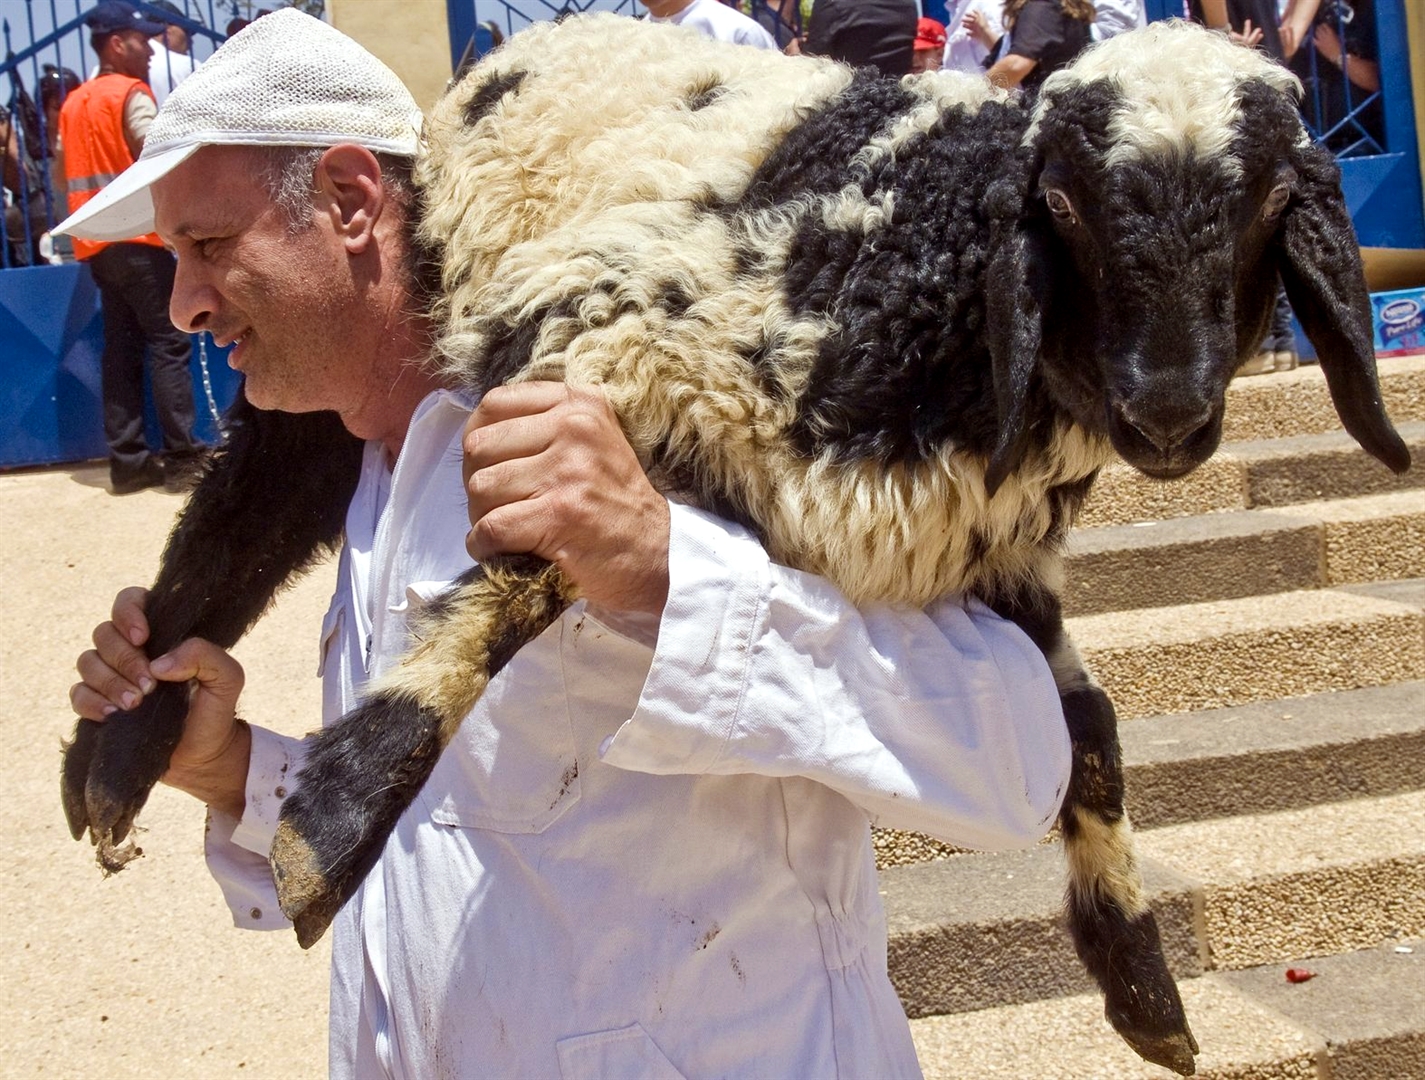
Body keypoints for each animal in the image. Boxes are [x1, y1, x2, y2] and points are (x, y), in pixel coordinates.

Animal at [61, 14, 1407, 1077]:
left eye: (1273, 206)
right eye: (1067, 206)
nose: (1168, 413)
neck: (931, 274)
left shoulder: (979, 560)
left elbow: (1083, 731)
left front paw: (1141, 984)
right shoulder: (607, 325)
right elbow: (521, 582)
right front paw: (332, 823)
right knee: (246, 503)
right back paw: (117, 749)